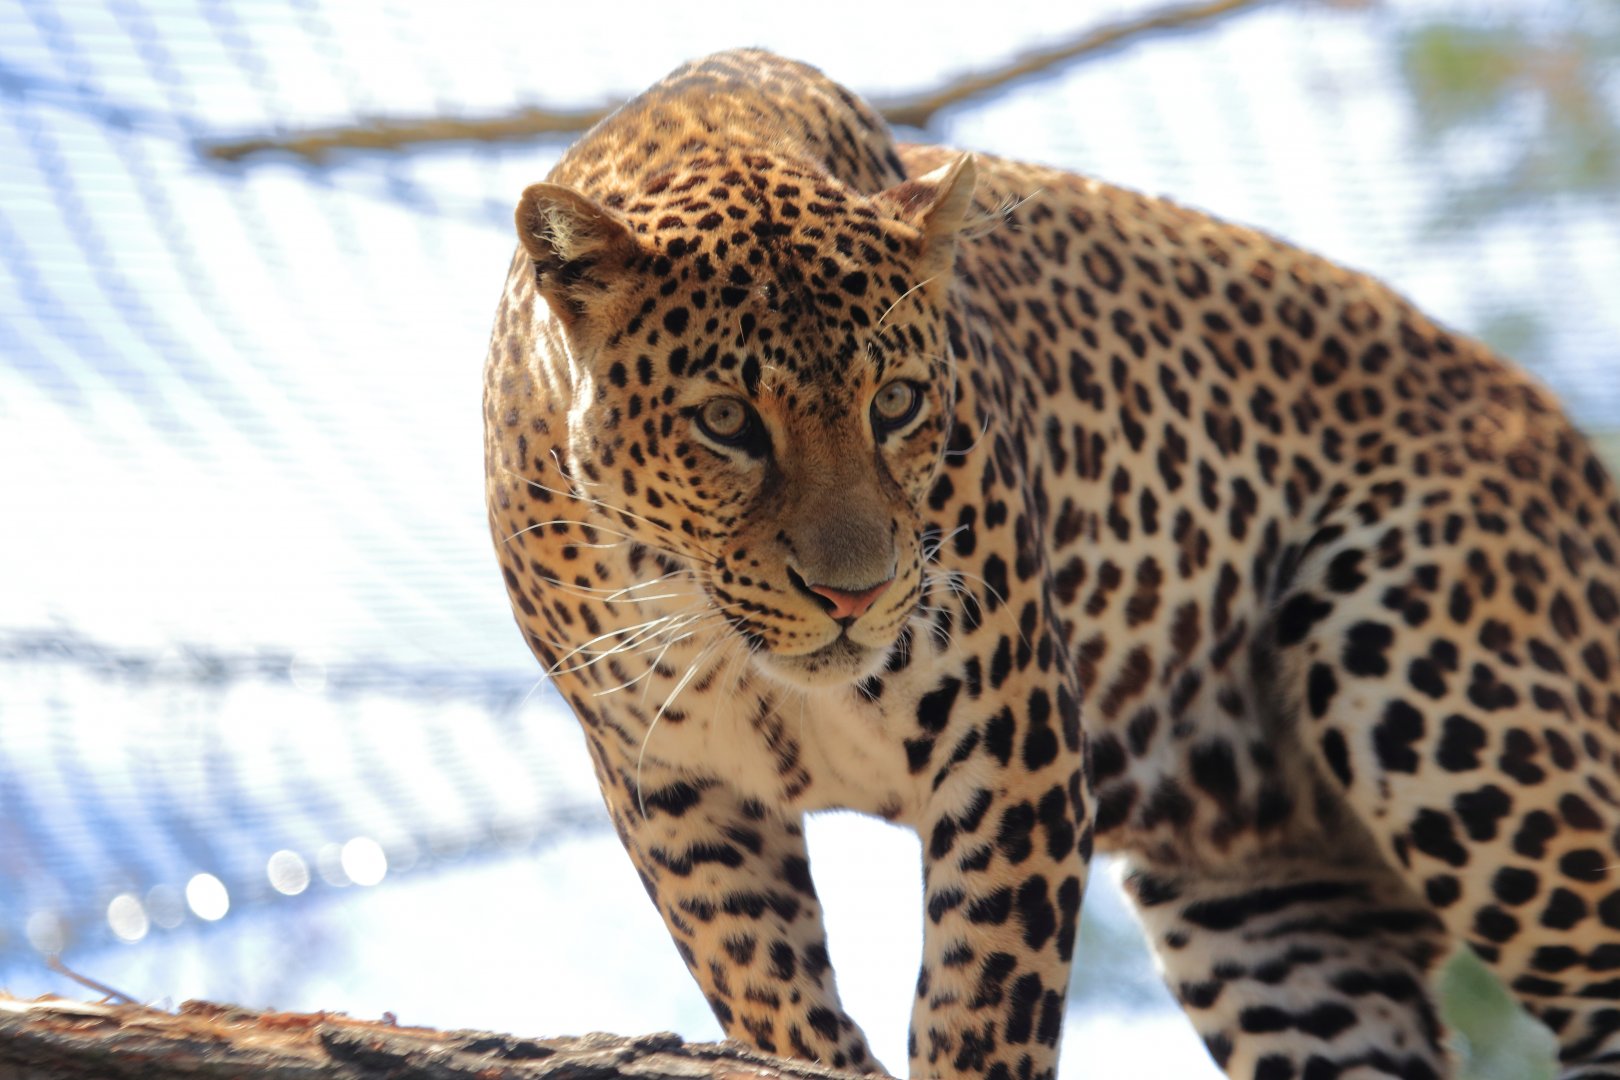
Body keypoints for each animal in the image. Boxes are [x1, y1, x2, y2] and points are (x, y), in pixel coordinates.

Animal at [483, 49, 1620, 1080]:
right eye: (726, 422)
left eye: (897, 402)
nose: (854, 594)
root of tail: (1568, 446)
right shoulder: (675, 788)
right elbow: (768, 988)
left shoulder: (1012, 735)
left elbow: (982, 1006)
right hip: (1273, 916)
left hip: (1442, 695)